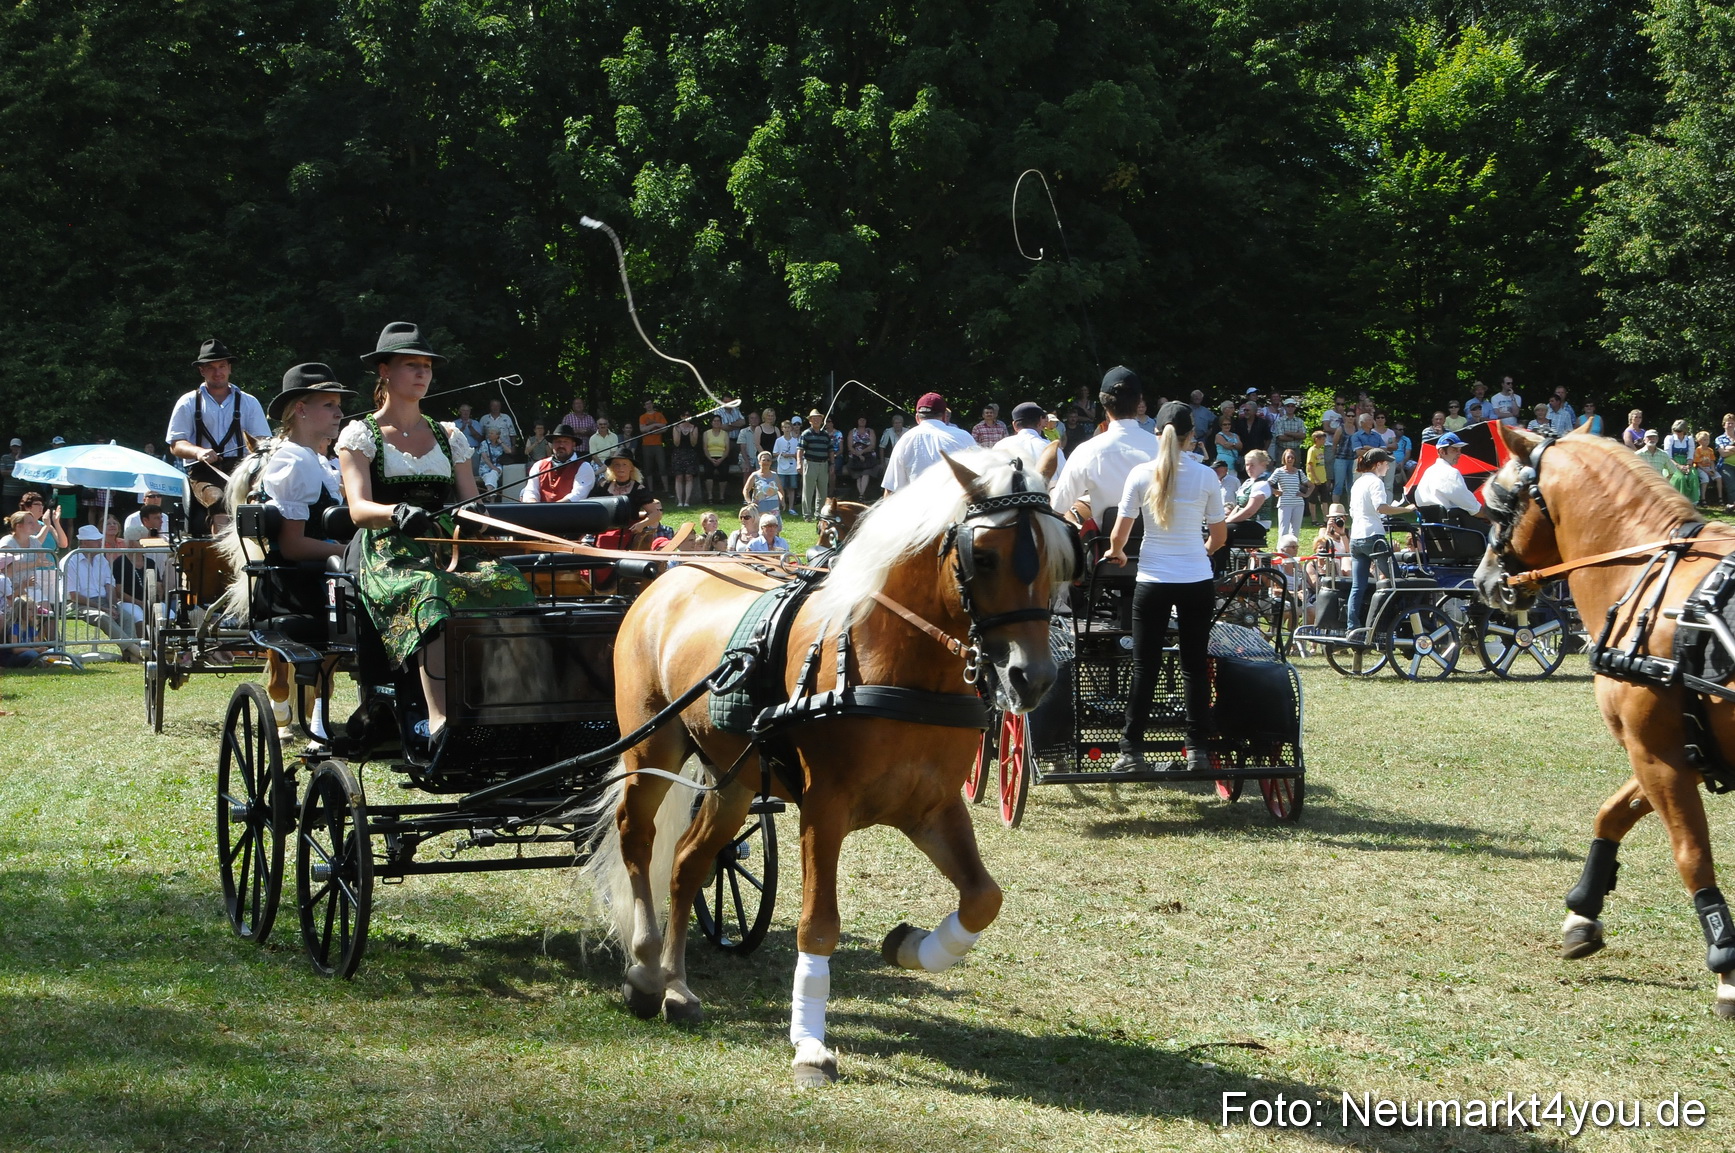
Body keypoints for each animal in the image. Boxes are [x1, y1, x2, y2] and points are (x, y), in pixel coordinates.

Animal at [583, 446, 1073, 1085]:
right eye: (984, 556)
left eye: (1059, 559)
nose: (1031, 677)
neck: (889, 660)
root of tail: (672, 574)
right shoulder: (824, 807)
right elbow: (819, 924)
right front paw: (810, 1044)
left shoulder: (932, 805)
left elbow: (983, 898)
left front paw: (911, 946)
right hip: (650, 749)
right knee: (636, 838)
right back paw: (644, 971)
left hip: (736, 780)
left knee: (688, 863)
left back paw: (677, 988)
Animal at [1473, 422, 1735, 1018]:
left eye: (1498, 509)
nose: (1484, 581)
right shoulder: (1671, 750)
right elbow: (1611, 814)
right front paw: (1583, 910)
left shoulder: (1657, 751)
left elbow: (1691, 855)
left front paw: (1727, 963)